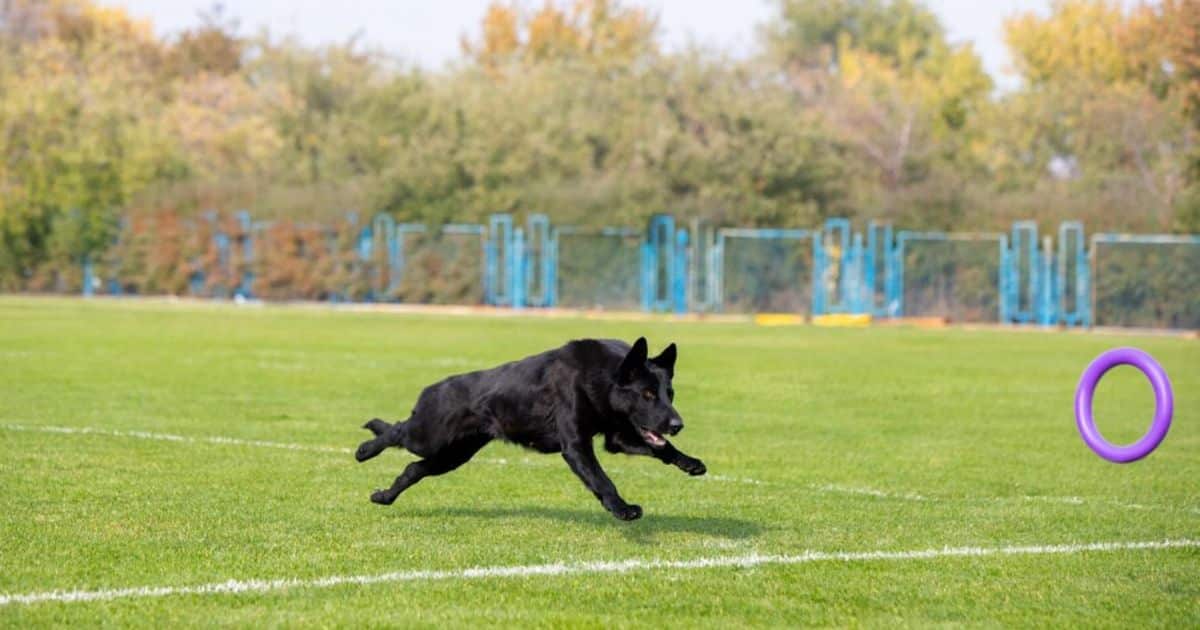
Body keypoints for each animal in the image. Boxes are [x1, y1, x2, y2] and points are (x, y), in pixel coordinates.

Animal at [352, 336, 700, 518]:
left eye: (669, 394)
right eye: (647, 394)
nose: (677, 424)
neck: (601, 378)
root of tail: (433, 388)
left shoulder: (617, 438)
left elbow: (663, 450)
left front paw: (690, 463)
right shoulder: (576, 446)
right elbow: (602, 481)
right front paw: (621, 508)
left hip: (453, 455)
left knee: (413, 468)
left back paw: (383, 497)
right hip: (428, 437)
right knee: (397, 430)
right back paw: (365, 448)